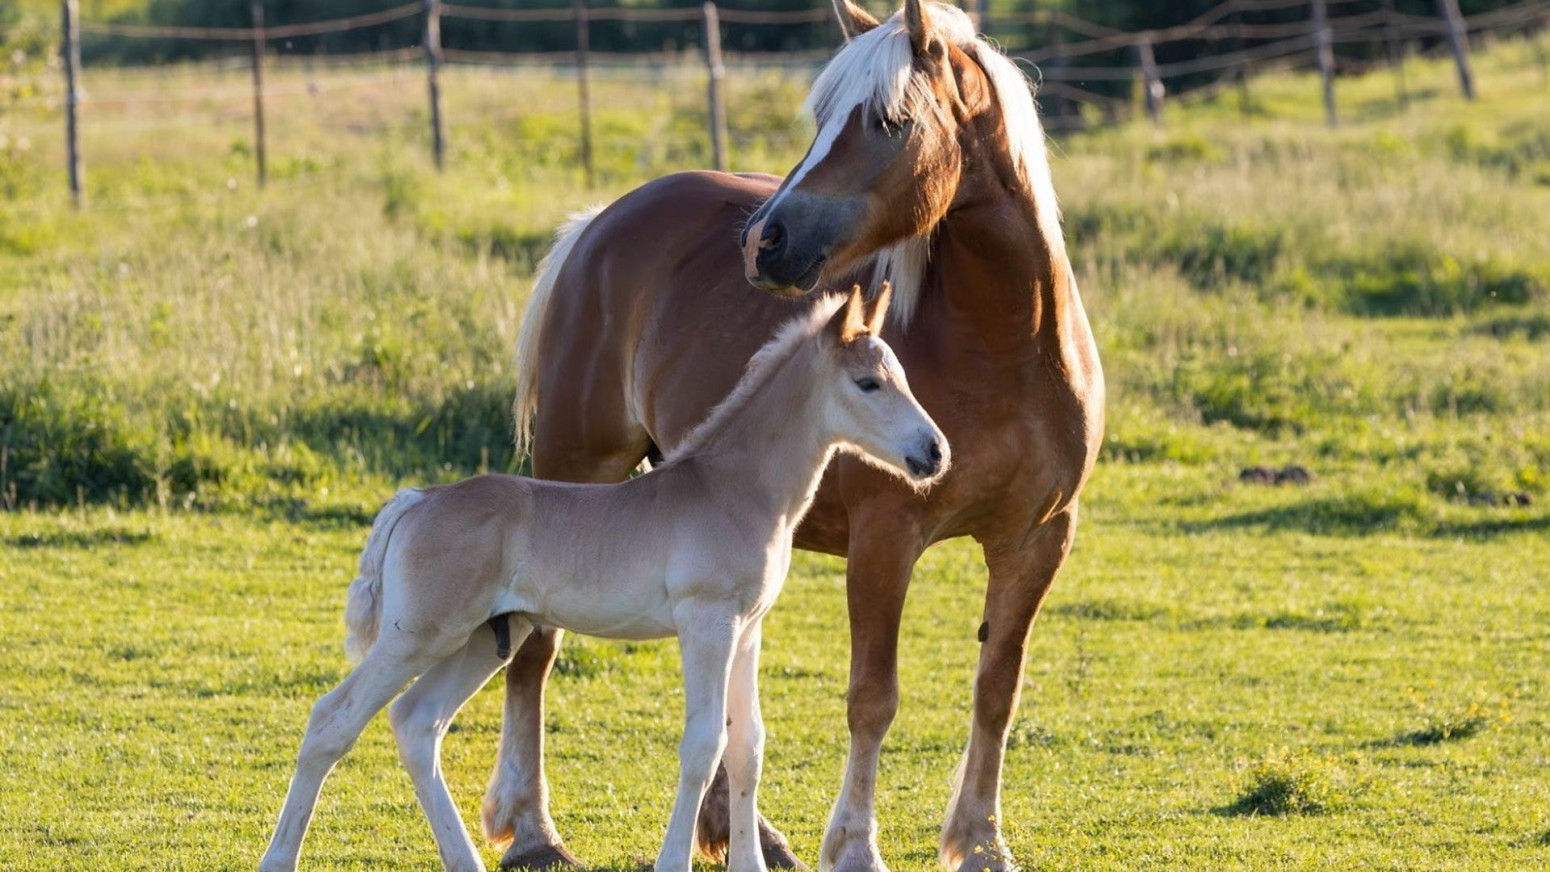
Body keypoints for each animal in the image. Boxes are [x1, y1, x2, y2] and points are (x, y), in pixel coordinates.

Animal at [489, 5, 1109, 872]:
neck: (1004, 343)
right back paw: (532, 831)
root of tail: (598, 227)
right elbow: (873, 696)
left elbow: (997, 688)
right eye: (820, 118)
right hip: (575, 473)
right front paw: (853, 845)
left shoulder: (1038, 539)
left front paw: (983, 841)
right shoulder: (886, 538)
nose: (765, 241)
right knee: (537, 649)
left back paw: (739, 833)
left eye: (889, 120)